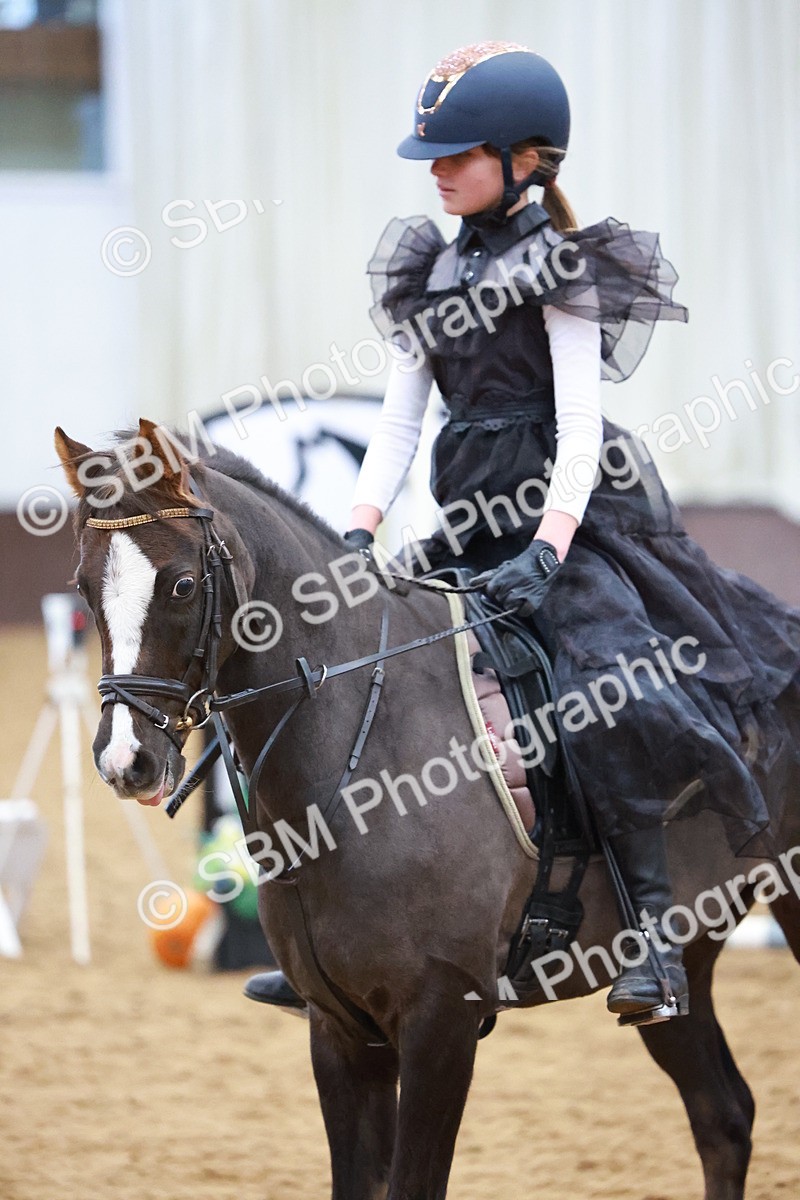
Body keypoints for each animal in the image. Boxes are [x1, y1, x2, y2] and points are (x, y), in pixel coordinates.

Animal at [55, 419, 800, 1200]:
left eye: (182, 584)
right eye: (82, 587)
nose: (126, 761)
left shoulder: (442, 1018)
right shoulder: (341, 1029)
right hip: (693, 956)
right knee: (724, 1116)